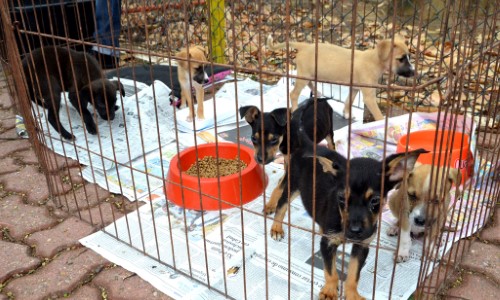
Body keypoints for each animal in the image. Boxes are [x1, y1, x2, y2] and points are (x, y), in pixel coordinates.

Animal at [268, 36, 416, 122]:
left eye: (409, 57)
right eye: (400, 59)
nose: (414, 72)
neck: (374, 60)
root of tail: (305, 46)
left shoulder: (354, 88)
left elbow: (348, 101)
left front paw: (347, 114)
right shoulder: (369, 96)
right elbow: (378, 115)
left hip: (309, 74)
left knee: (309, 84)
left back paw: (318, 93)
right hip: (304, 75)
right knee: (293, 94)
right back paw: (294, 110)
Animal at [270, 113, 426, 298]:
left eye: (375, 200)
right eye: (341, 198)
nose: (355, 231)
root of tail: (307, 145)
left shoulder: (362, 246)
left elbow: (353, 274)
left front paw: (352, 294)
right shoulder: (328, 244)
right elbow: (331, 271)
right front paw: (330, 291)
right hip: (292, 184)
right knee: (281, 205)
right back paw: (276, 228)